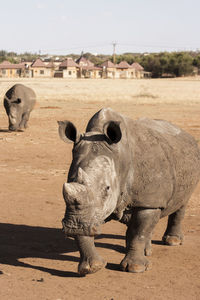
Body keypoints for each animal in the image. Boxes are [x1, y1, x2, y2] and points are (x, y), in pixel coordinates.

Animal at [57, 108, 200, 276]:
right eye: (69, 182)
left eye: (107, 188)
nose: (74, 225)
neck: (120, 157)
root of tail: (186, 134)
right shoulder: (90, 210)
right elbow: (87, 229)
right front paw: (93, 267)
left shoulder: (148, 201)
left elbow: (139, 232)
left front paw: (135, 268)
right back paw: (146, 251)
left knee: (181, 203)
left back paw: (173, 242)